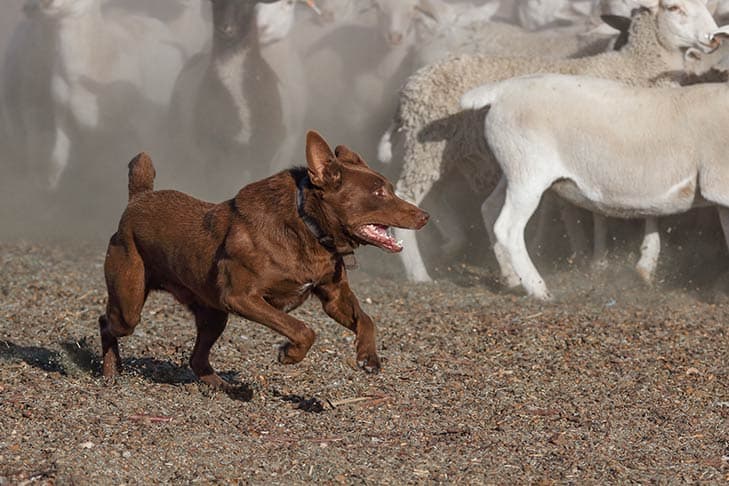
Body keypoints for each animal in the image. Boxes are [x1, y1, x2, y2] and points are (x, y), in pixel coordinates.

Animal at [384, 0, 717, 283]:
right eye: (675, 8)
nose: (714, 38)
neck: (635, 66)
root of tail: (411, 84)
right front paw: (619, 261)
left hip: (446, 152)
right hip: (427, 151)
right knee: (410, 195)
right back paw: (420, 275)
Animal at [458, 33, 729, 300]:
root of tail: (501, 90)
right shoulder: (720, 185)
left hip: (514, 167)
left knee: (489, 209)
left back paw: (512, 279)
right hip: (529, 172)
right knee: (508, 228)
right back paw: (539, 290)